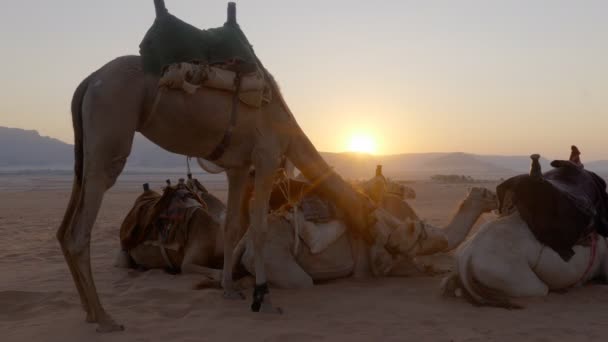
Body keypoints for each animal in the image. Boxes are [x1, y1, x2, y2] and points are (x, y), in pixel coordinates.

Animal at [59, 0, 378, 332]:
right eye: (372, 215)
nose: (374, 264)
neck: (288, 128)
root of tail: (89, 80)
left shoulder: (237, 168)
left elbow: (233, 226)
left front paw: (229, 289)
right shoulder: (266, 157)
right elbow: (259, 228)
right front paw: (262, 299)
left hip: (85, 149)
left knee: (65, 226)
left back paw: (89, 312)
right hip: (110, 131)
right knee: (80, 229)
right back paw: (105, 318)